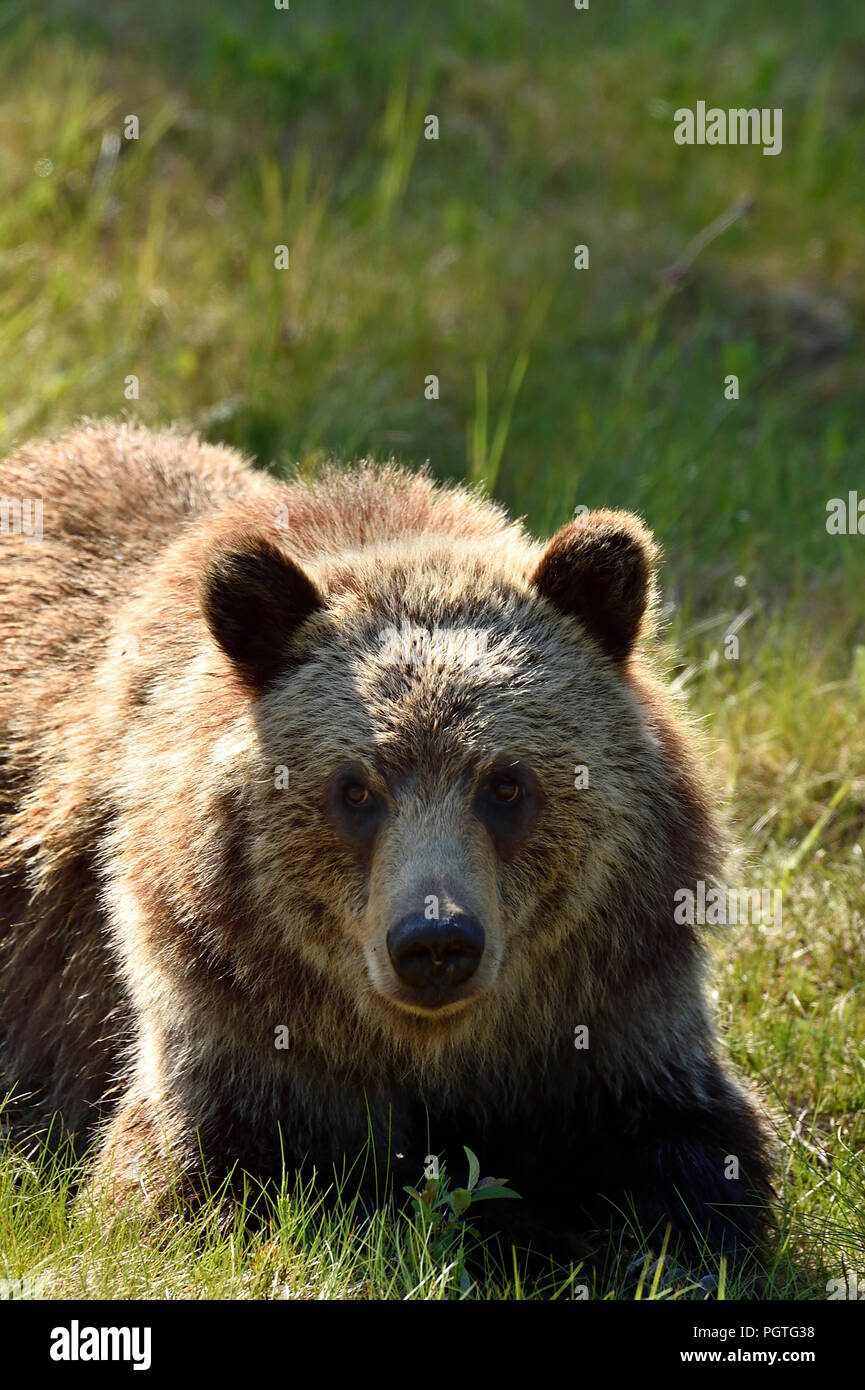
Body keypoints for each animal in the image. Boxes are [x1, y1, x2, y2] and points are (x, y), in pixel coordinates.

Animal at [0, 417, 773, 1267]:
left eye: (505, 783)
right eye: (356, 787)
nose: (435, 940)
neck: (428, 1046)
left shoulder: (613, 1014)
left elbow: (693, 1153)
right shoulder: (231, 1013)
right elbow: (182, 1178)